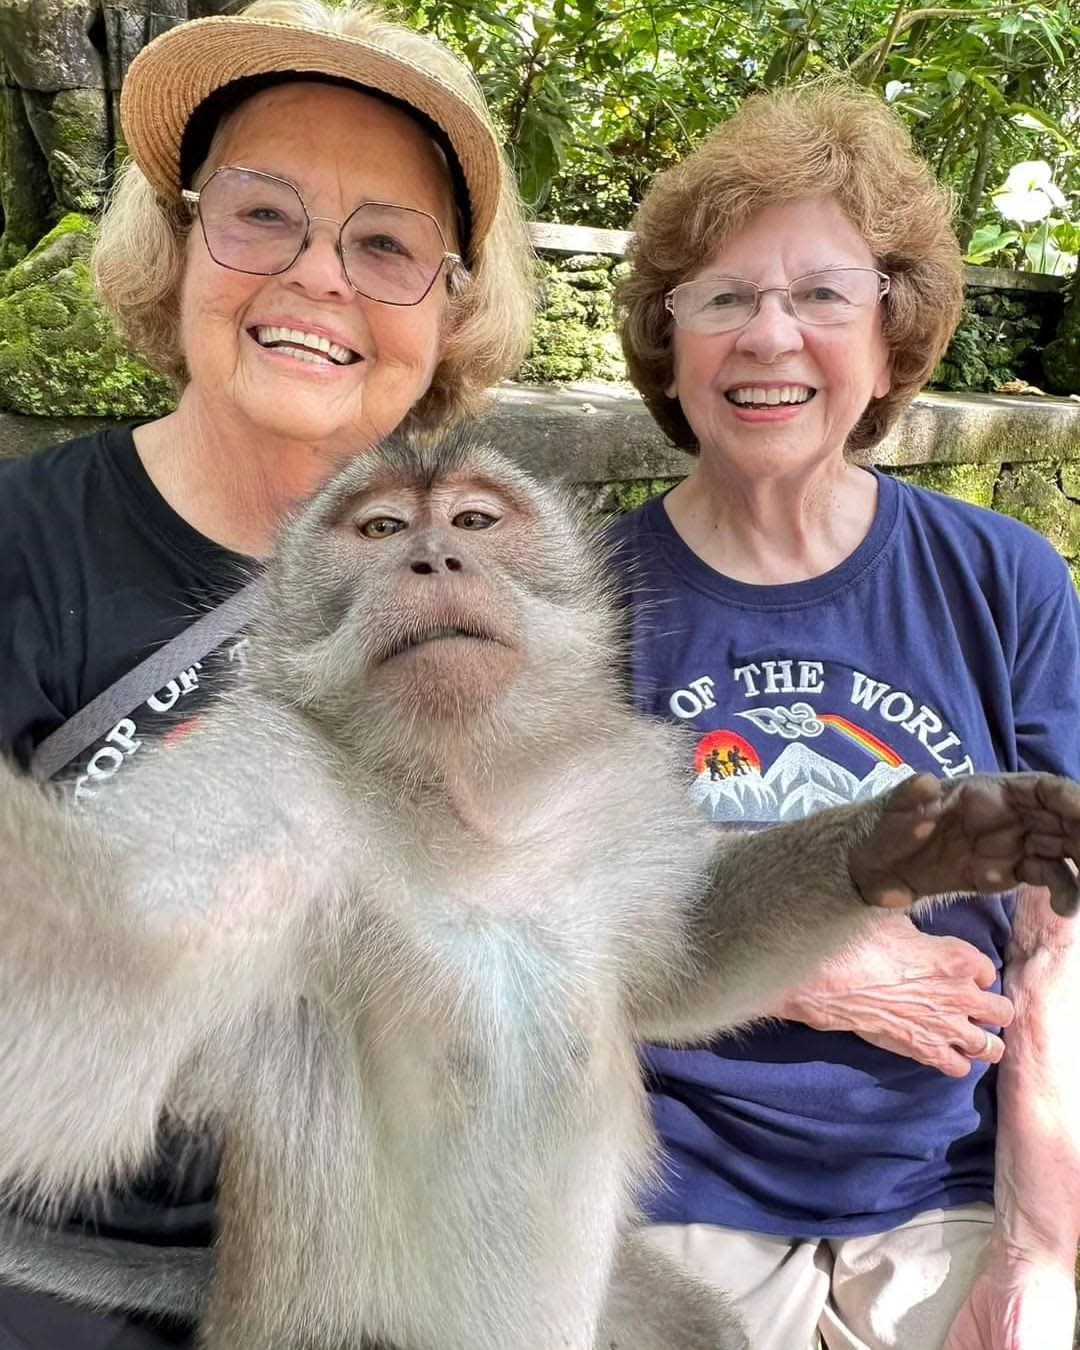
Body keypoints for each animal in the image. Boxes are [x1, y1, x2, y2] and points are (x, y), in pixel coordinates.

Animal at [2, 434, 1080, 1350]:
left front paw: (907, 842)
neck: (467, 809)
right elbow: (98, 967)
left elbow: (683, 963)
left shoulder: (610, 792)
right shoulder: (270, 788)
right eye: (380, 530)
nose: (433, 560)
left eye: (475, 521)